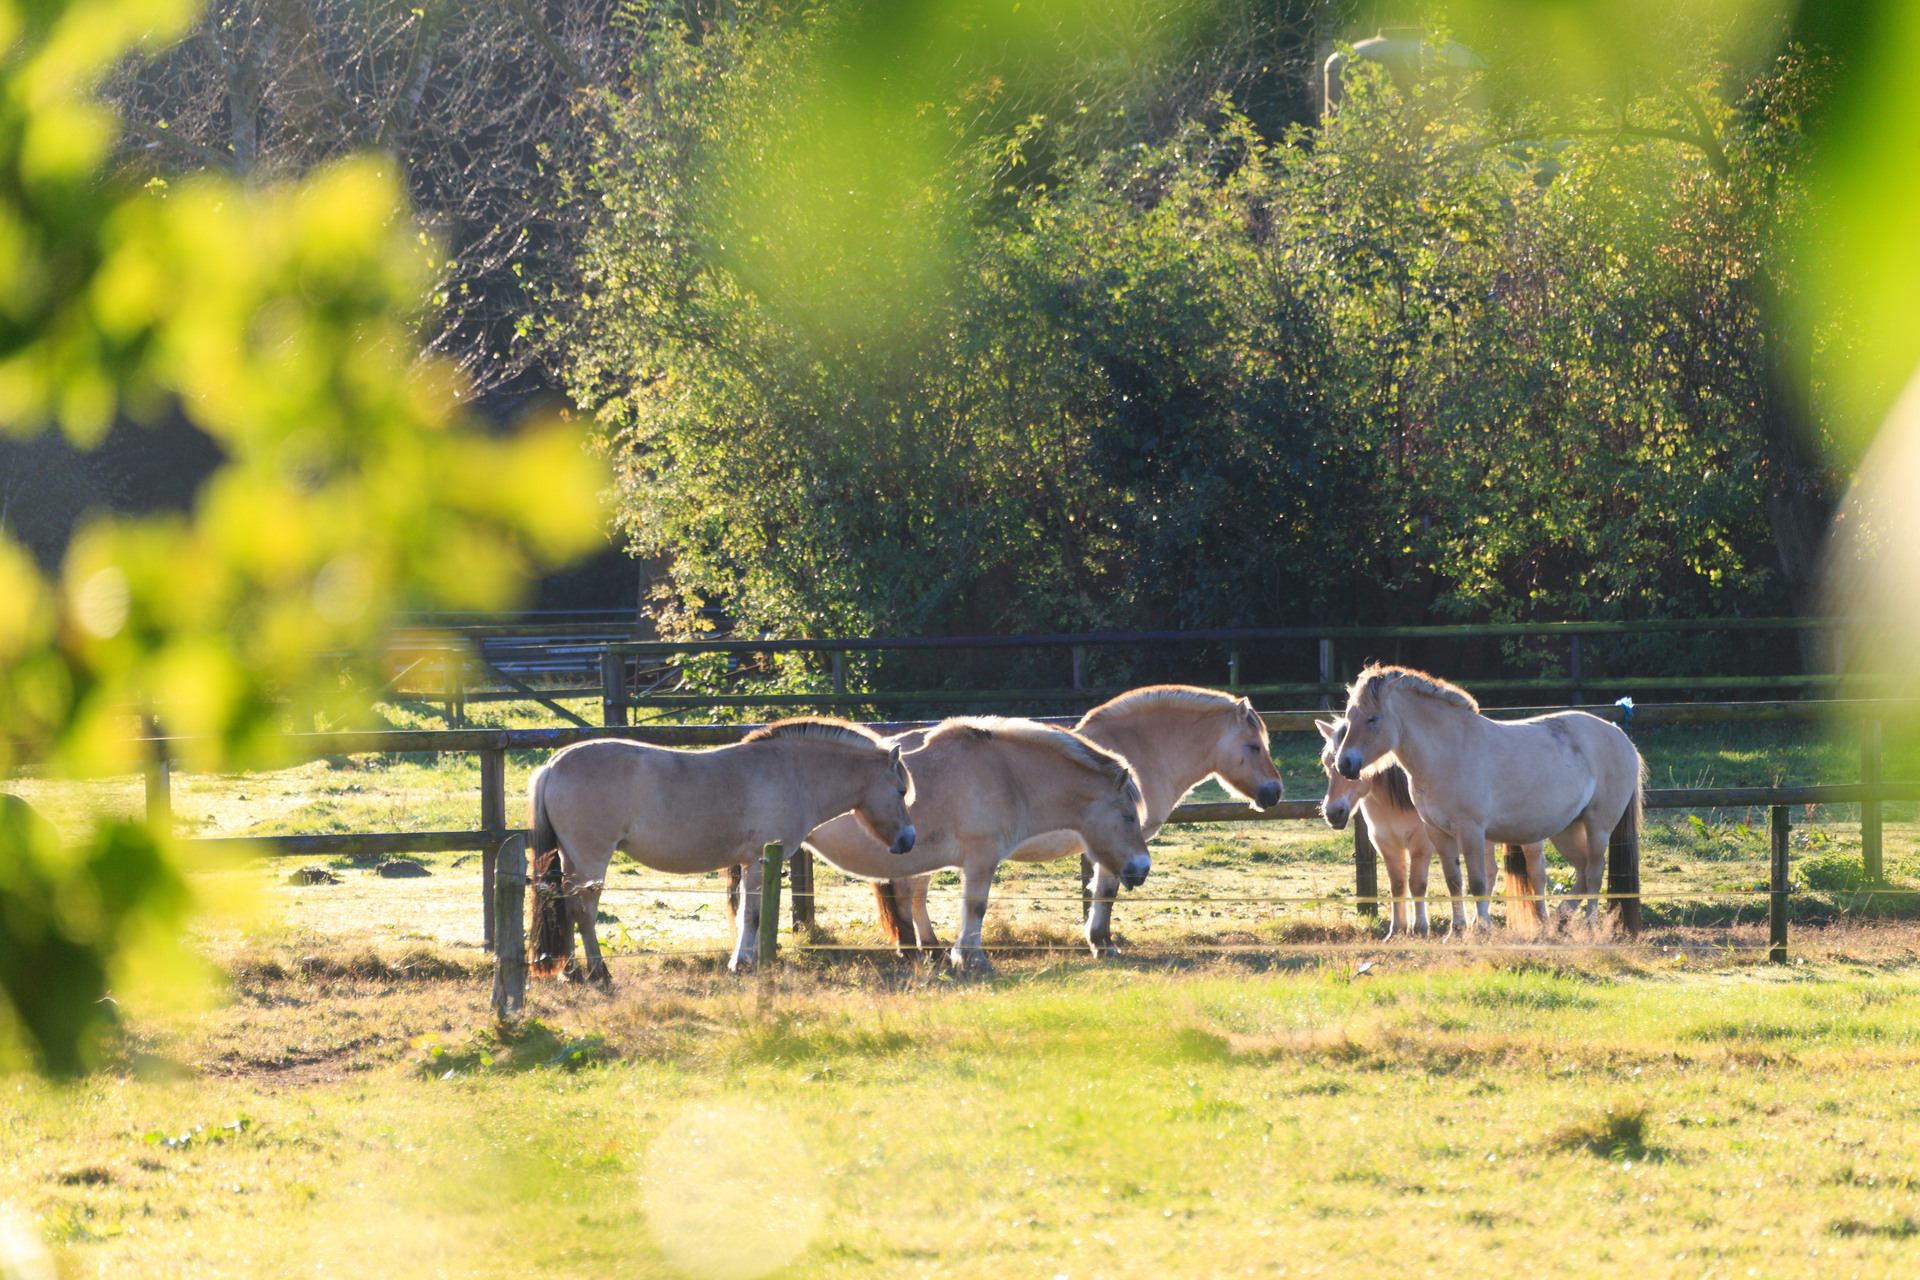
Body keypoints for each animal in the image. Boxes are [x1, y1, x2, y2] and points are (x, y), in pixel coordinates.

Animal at [526, 721, 913, 982]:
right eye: (900, 790)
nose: (908, 840)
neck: (793, 774)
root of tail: (553, 765)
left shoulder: (749, 863)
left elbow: (743, 914)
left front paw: (745, 960)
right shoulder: (758, 860)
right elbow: (753, 915)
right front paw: (742, 964)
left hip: (572, 860)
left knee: (564, 907)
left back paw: (570, 972)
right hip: (591, 860)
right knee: (583, 911)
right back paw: (599, 972)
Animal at [798, 717, 1144, 974]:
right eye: (1128, 816)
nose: (1142, 869)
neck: (1007, 777)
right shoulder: (981, 858)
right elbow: (975, 906)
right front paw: (973, 960)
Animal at [864, 687, 1282, 955]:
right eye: (1253, 746)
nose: (1274, 793)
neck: (1140, 750)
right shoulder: (1116, 843)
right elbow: (1106, 893)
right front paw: (1102, 943)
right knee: (909, 893)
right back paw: (924, 949)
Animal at [1320, 717, 1543, 936]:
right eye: (1327, 764)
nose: (1332, 813)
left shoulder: (1421, 845)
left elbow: (1417, 884)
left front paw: (1419, 929)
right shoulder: (1386, 845)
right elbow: (1397, 885)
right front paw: (1397, 931)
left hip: (1529, 839)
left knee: (1536, 871)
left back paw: (1543, 921)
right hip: (1483, 842)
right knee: (1490, 874)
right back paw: (1481, 923)